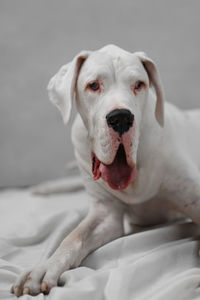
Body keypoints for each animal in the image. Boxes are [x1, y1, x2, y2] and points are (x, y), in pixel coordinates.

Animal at [11, 45, 200, 298]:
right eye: (93, 85)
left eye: (139, 84)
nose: (120, 117)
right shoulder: (105, 216)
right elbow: (72, 237)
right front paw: (43, 268)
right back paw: (46, 187)